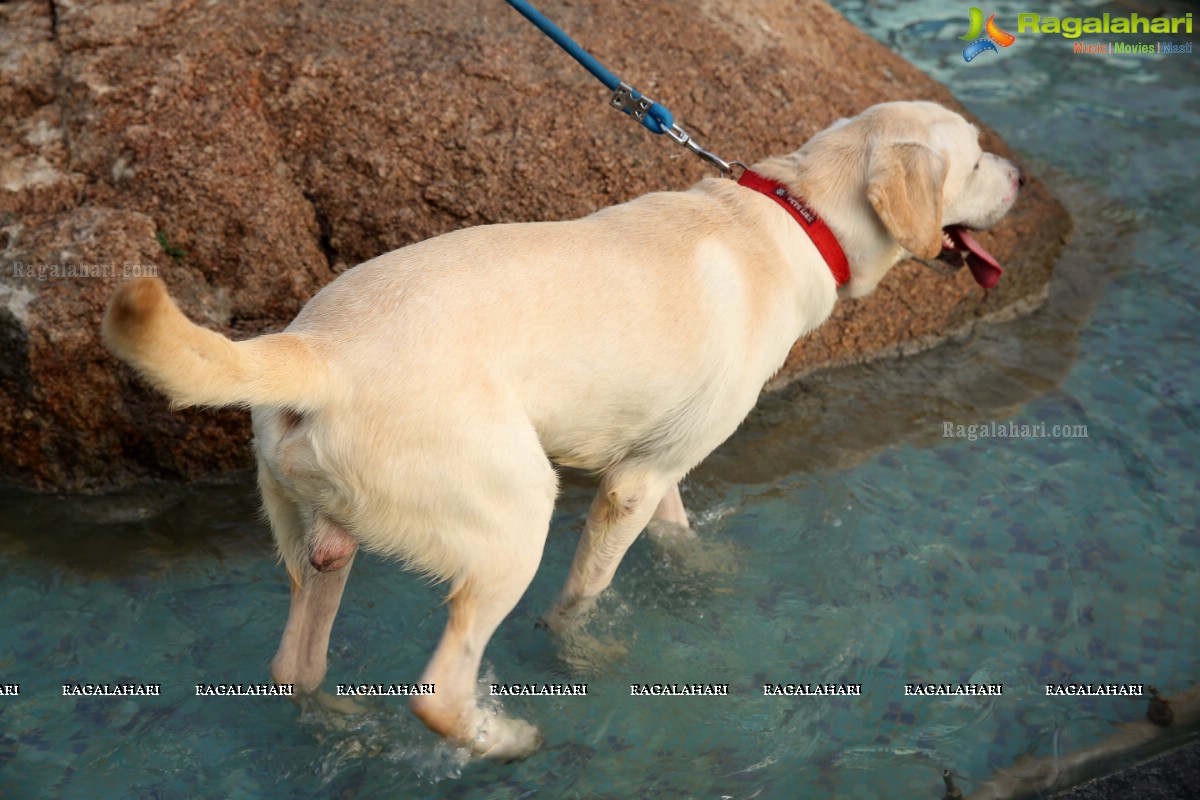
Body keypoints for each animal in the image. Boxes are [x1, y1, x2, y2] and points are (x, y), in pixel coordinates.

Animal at [103, 100, 1022, 762]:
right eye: (977, 159)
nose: (1019, 174)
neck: (798, 213)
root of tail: (317, 352)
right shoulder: (630, 483)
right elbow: (583, 597)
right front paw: (581, 657)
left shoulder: (659, 463)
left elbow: (678, 536)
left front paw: (704, 577)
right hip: (512, 520)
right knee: (438, 691)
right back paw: (504, 741)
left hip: (321, 540)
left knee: (297, 665)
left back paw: (347, 731)